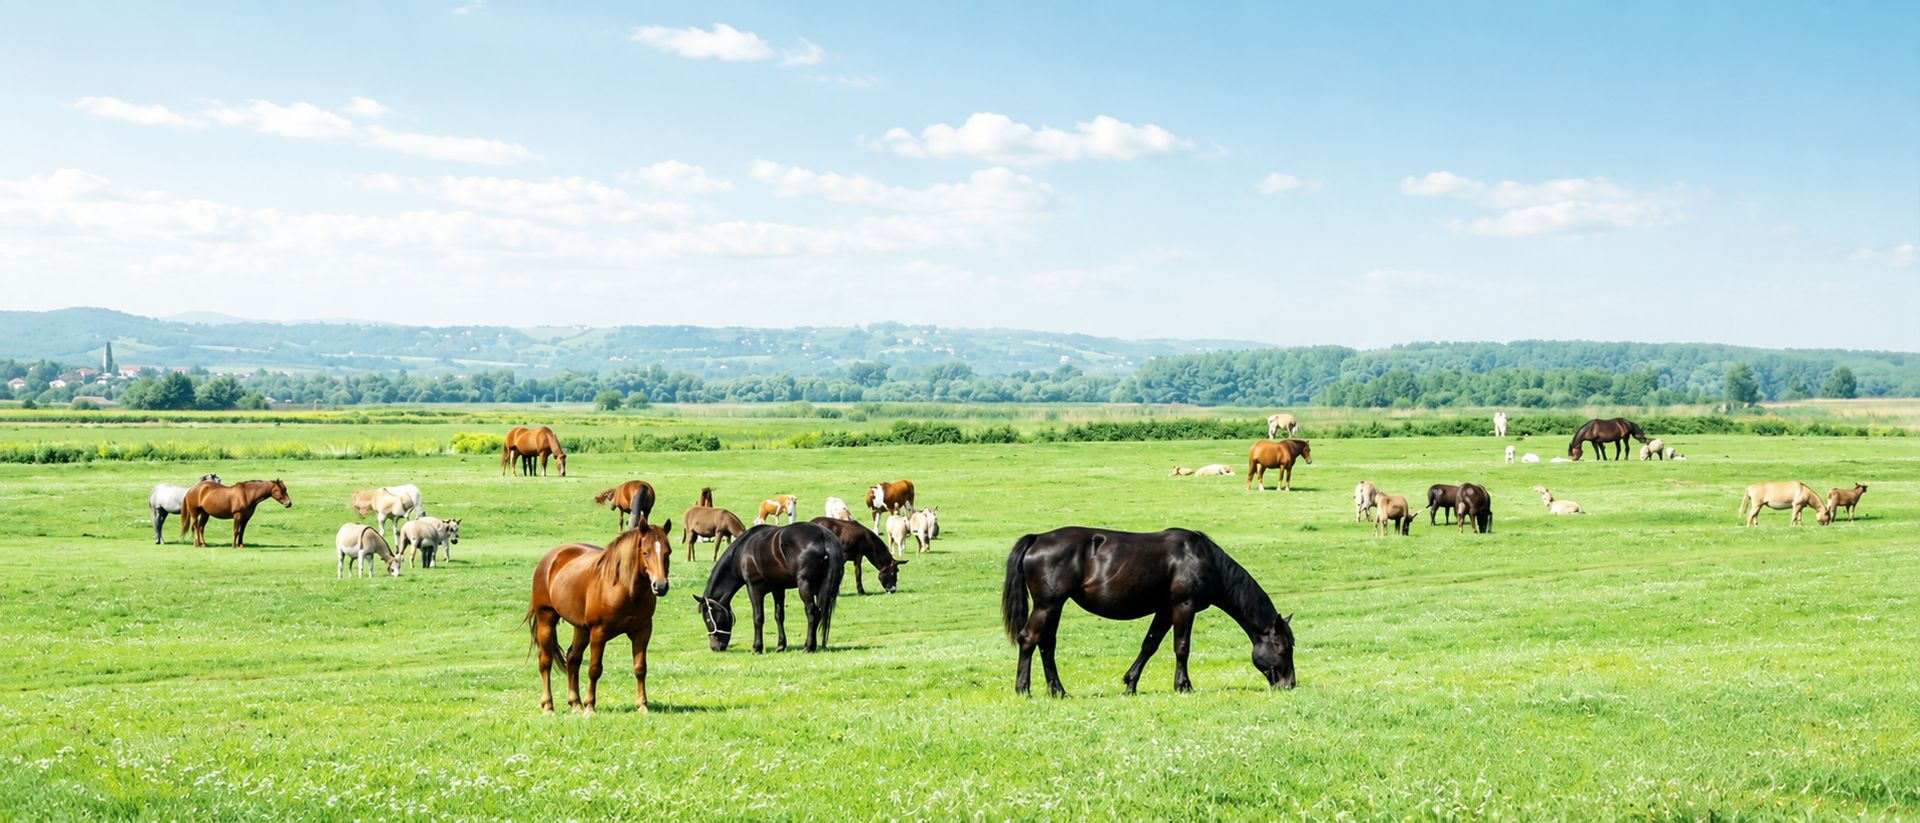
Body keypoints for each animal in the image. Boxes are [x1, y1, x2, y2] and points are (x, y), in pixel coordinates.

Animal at [523, 518, 673, 715]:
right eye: (645, 552)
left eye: (667, 552)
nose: (660, 586)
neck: (625, 589)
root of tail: (550, 559)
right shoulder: (598, 633)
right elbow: (595, 669)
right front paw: (590, 706)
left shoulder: (642, 631)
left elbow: (640, 668)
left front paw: (642, 705)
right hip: (546, 619)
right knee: (545, 661)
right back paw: (548, 706)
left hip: (580, 628)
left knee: (573, 658)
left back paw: (575, 703)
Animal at [694, 523, 845, 654]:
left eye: (708, 619)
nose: (715, 647)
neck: (742, 552)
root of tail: (823, 536)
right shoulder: (778, 588)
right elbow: (779, 616)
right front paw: (781, 645)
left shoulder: (754, 588)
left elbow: (758, 617)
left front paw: (757, 647)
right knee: (821, 613)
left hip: (805, 585)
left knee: (812, 612)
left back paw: (808, 646)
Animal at [1001, 527, 1295, 696]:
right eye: (1283, 650)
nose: (1290, 685)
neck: (1203, 559)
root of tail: (1037, 539)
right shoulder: (1183, 606)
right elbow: (1182, 647)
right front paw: (1183, 686)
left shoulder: (1164, 610)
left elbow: (1149, 646)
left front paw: (1130, 685)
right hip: (1047, 605)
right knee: (1029, 639)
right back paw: (1023, 689)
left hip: (1054, 607)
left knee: (1046, 645)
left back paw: (1058, 691)